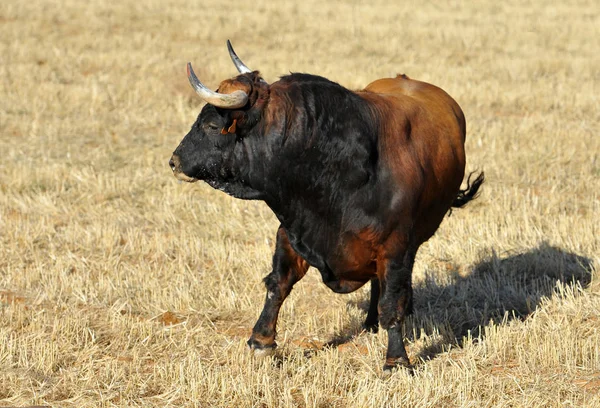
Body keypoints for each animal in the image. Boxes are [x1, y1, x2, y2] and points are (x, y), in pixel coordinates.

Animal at [168, 42, 482, 372]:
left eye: (211, 124)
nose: (174, 161)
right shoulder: (292, 229)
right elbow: (278, 283)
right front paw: (261, 340)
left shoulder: (395, 246)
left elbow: (391, 301)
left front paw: (396, 360)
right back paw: (370, 322)